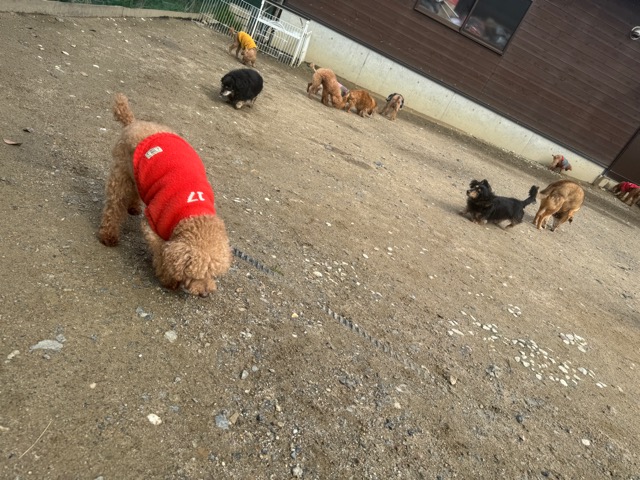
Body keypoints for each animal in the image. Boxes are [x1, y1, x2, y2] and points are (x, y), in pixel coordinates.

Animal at [98, 94, 232, 296]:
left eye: (213, 274)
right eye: (197, 275)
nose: (205, 293)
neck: (193, 212)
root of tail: (134, 122)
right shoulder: (152, 224)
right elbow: (161, 252)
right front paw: (168, 279)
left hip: (138, 175)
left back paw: (134, 207)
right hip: (120, 174)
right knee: (114, 206)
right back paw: (108, 235)